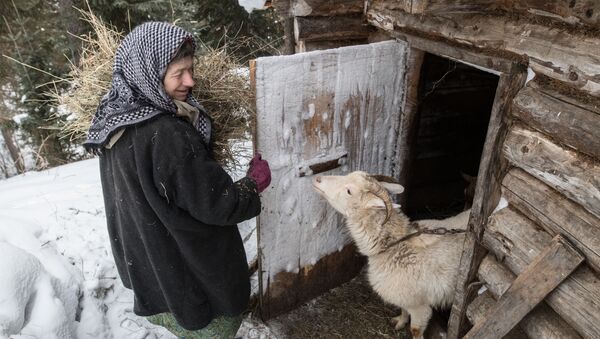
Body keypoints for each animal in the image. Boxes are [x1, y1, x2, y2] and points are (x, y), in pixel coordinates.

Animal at [312, 173, 472, 339]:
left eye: (349, 191)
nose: (317, 179)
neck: (394, 246)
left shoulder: (419, 306)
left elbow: (415, 330)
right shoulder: (405, 298)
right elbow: (403, 310)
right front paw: (400, 322)